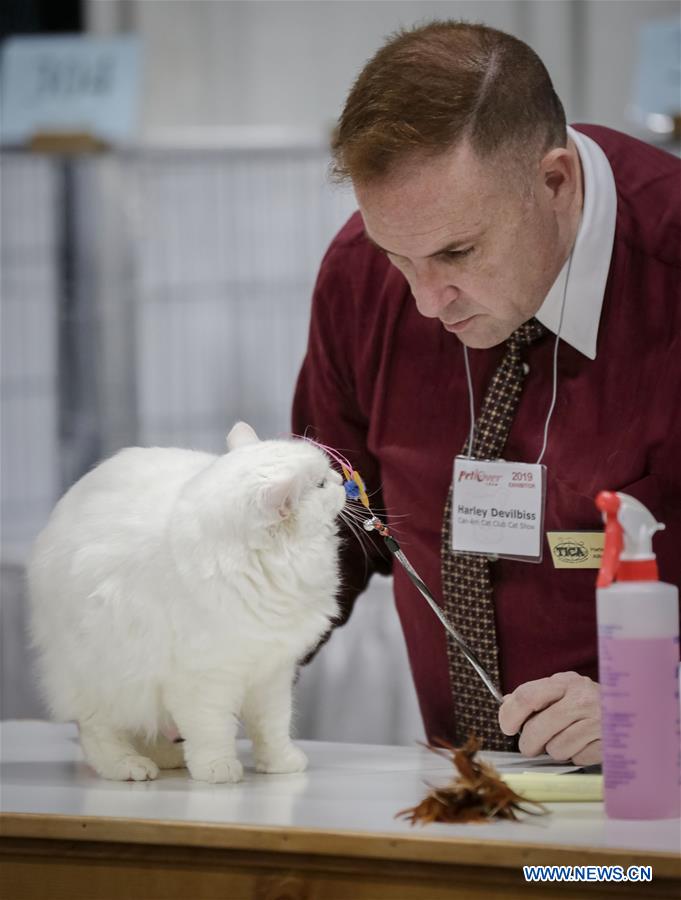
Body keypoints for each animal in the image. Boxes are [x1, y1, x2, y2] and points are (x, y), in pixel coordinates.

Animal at [26, 422, 346, 780]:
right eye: (321, 484)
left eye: (327, 475)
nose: (340, 479)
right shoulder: (204, 678)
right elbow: (212, 729)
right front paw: (218, 769)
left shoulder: (272, 671)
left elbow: (272, 726)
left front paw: (280, 764)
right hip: (102, 676)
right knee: (98, 732)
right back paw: (130, 766)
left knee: (150, 728)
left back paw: (168, 758)